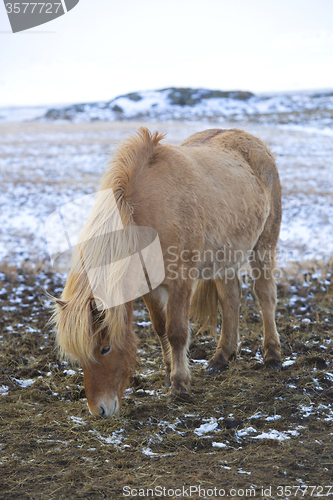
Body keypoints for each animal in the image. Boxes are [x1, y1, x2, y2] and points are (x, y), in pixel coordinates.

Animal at [53, 127, 282, 416]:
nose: (99, 410)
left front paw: (179, 386)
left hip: (264, 245)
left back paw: (272, 355)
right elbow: (160, 327)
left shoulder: (180, 283)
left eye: (105, 349)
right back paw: (222, 357)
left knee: (265, 295)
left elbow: (176, 332)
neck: (147, 215)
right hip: (225, 257)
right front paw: (168, 372)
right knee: (231, 298)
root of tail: (253, 141)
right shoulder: (148, 284)